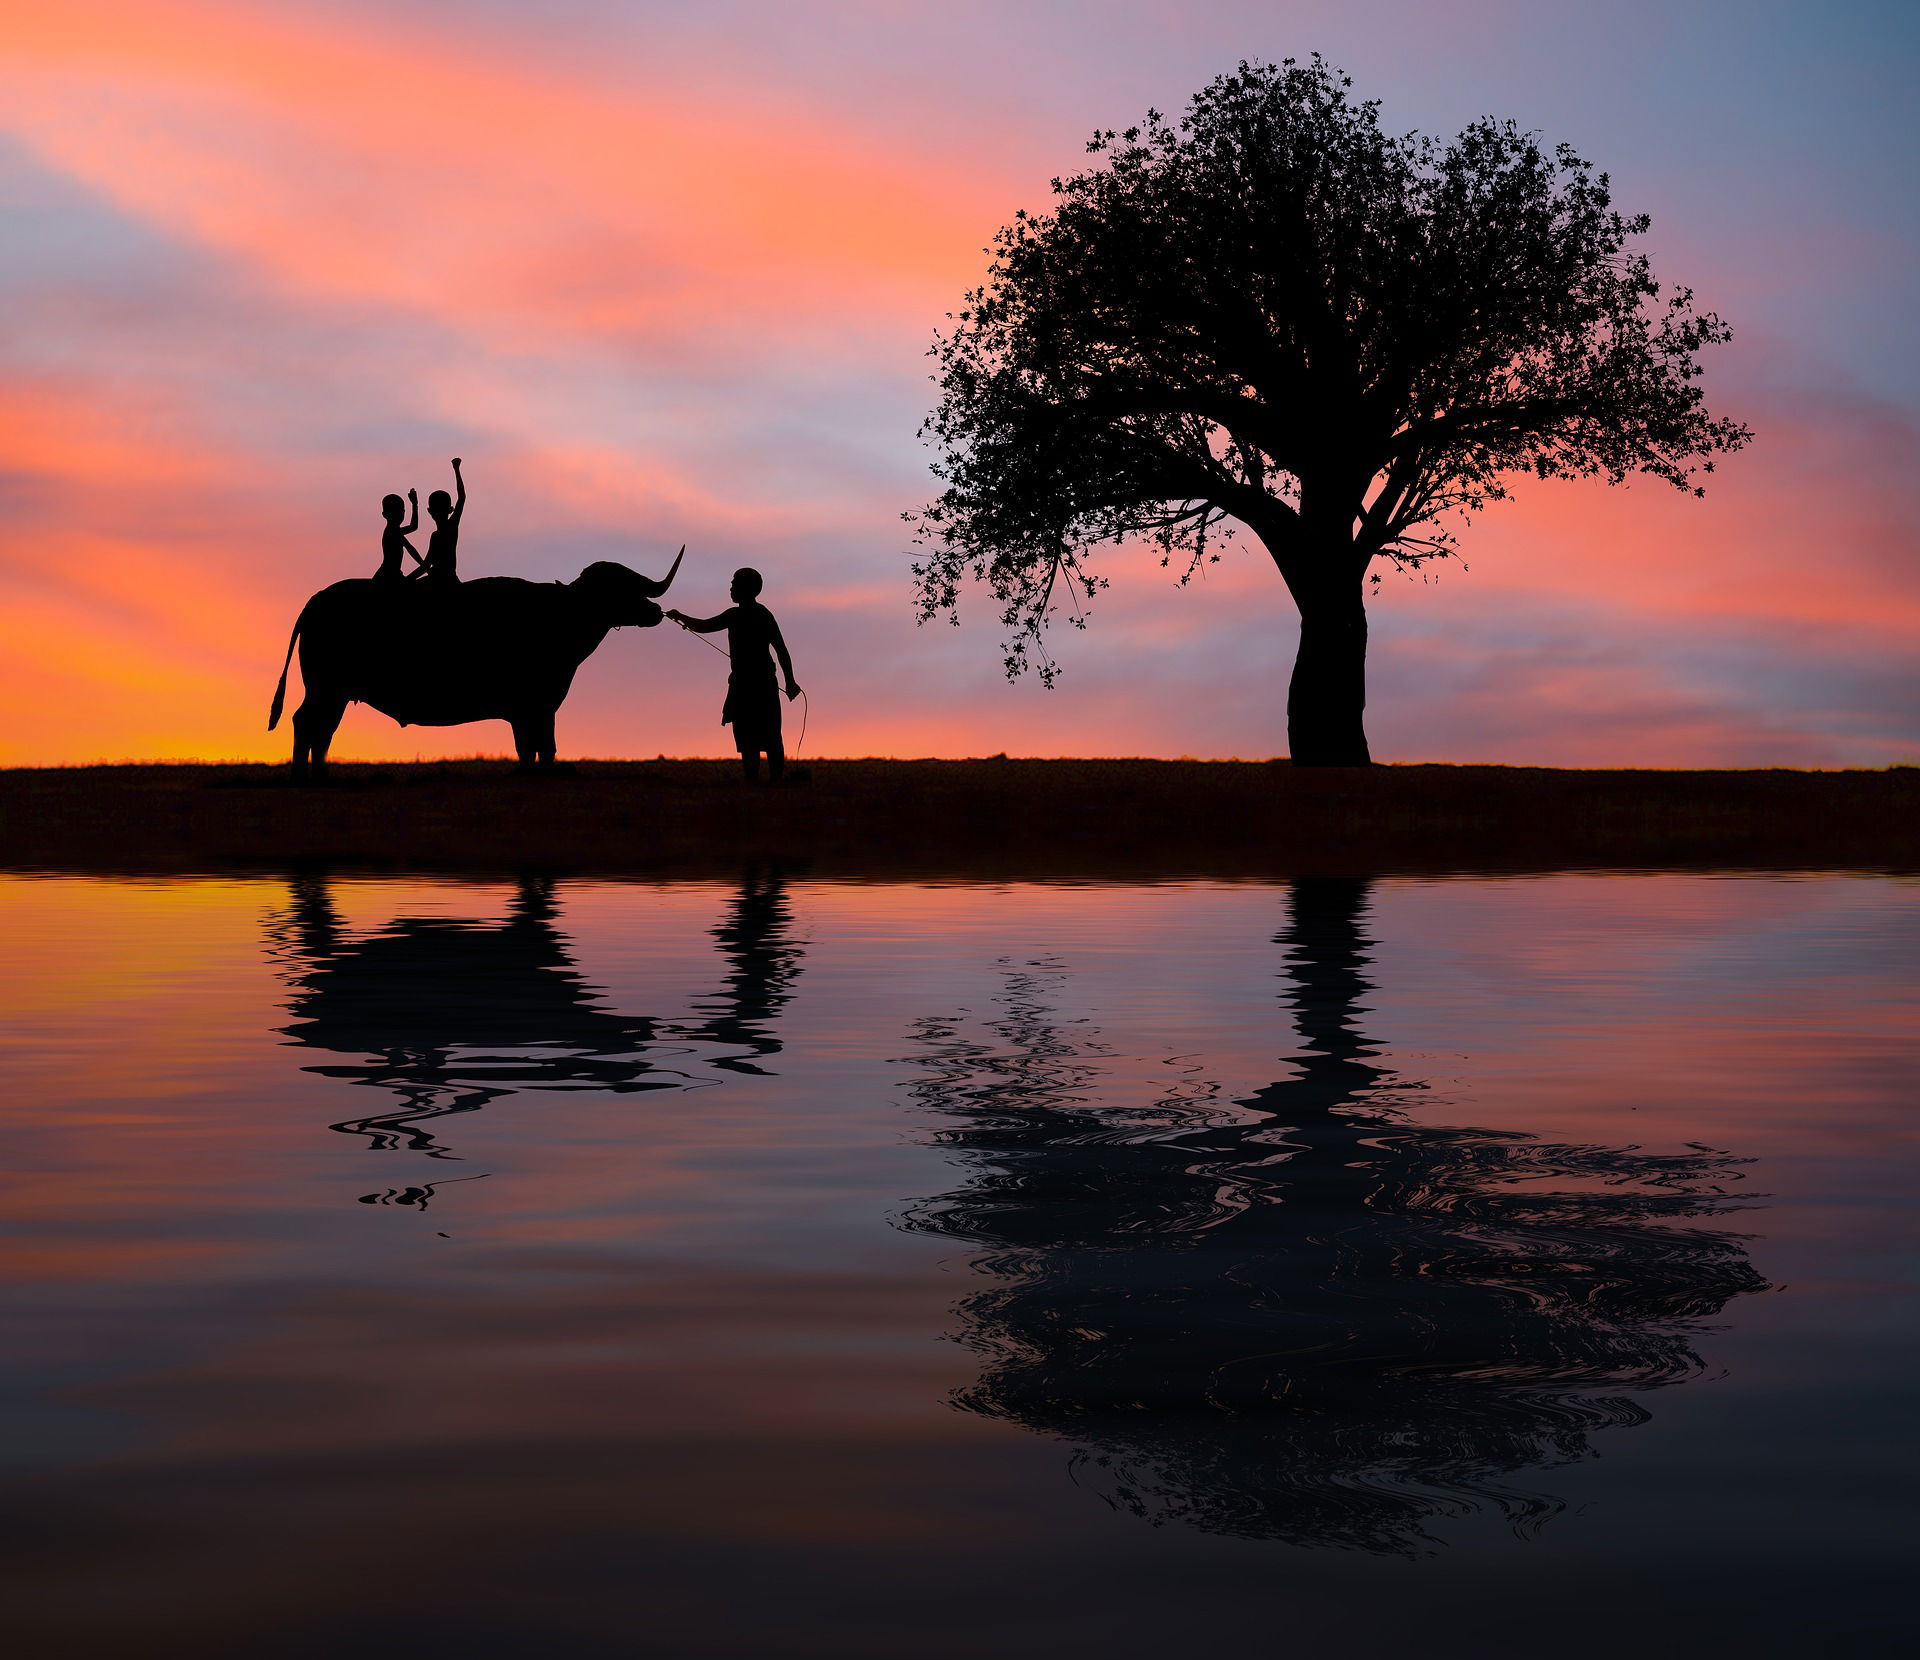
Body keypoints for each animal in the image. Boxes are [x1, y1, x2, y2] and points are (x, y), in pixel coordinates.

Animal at [266, 548, 679, 771]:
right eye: (617, 587)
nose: (655, 610)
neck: (560, 618)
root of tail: (317, 599)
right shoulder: (537, 707)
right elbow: (542, 748)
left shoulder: (529, 711)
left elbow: (530, 750)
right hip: (325, 687)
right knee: (307, 723)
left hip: (334, 693)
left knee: (322, 729)